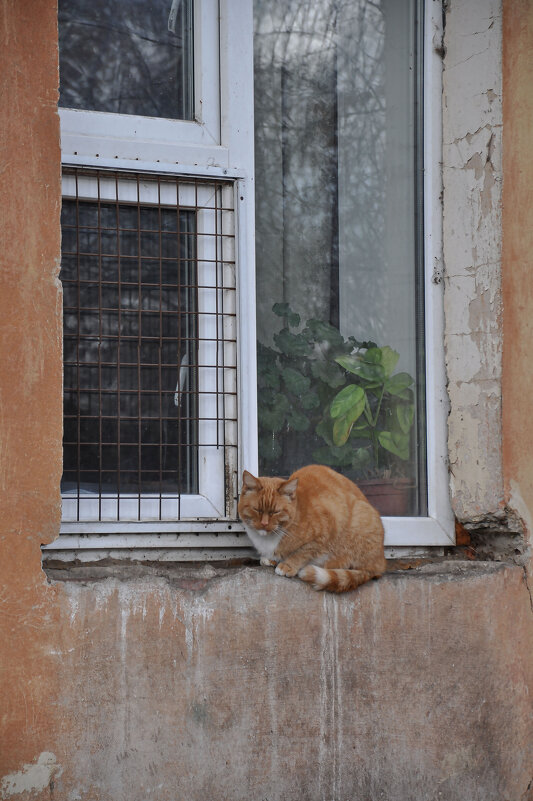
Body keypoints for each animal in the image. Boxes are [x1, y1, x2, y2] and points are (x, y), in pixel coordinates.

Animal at [239, 466, 384, 592]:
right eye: (256, 509)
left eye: (275, 512)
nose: (264, 523)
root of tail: (380, 563)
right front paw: (270, 559)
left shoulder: (324, 532)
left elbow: (302, 552)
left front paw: (287, 565)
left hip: (359, 520)